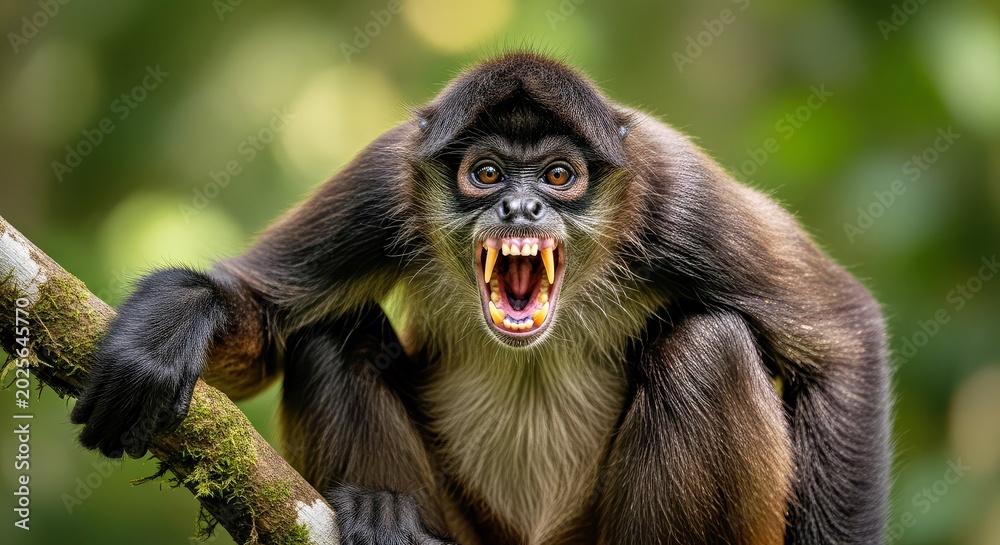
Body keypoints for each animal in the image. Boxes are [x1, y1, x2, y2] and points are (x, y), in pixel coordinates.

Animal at [70, 52, 891, 545]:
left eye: (558, 176)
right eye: (488, 174)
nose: (520, 210)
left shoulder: (674, 190)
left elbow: (842, 339)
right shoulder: (386, 178)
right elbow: (266, 315)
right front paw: (171, 319)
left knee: (709, 345)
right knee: (330, 335)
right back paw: (381, 511)